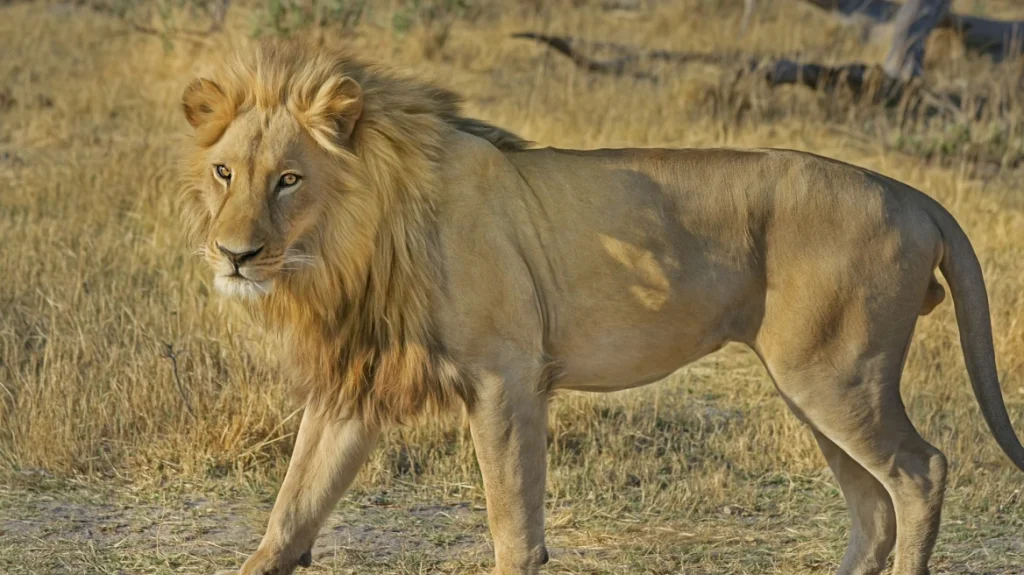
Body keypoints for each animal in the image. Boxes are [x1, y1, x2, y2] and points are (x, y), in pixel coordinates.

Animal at [178, 39, 1024, 575]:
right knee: (872, 509)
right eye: (225, 172)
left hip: (837, 376)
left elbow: (512, 520)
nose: (234, 254)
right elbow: (294, 503)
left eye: (289, 179)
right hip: (814, 386)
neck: (349, 246)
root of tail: (912, 194)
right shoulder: (357, 382)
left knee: (920, 472)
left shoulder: (507, 373)